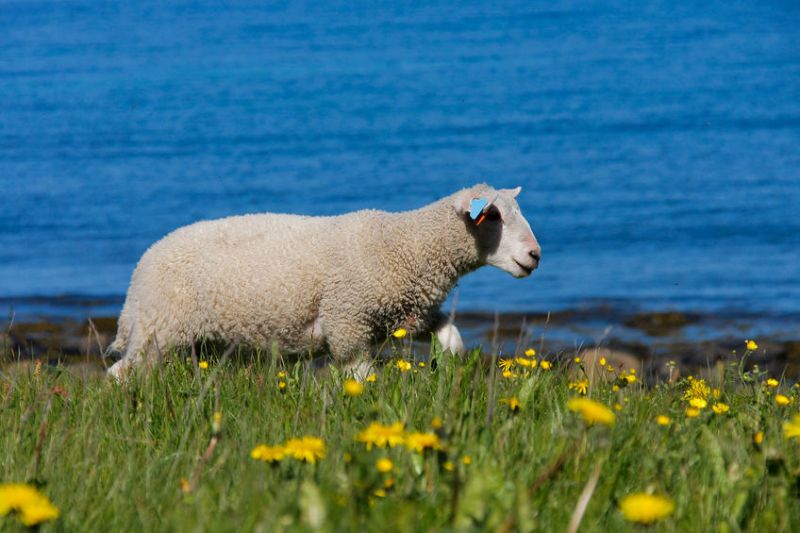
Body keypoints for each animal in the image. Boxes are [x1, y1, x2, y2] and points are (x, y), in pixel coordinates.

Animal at [106, 185, 540, 376]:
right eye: (494, 216)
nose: (535, 255)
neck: (404, 244)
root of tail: (139, 273)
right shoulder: (348, 325)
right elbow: (360, 377)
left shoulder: (406, 314)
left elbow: (452, 337)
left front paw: (448, 367)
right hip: (159, 330)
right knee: (119, 376)